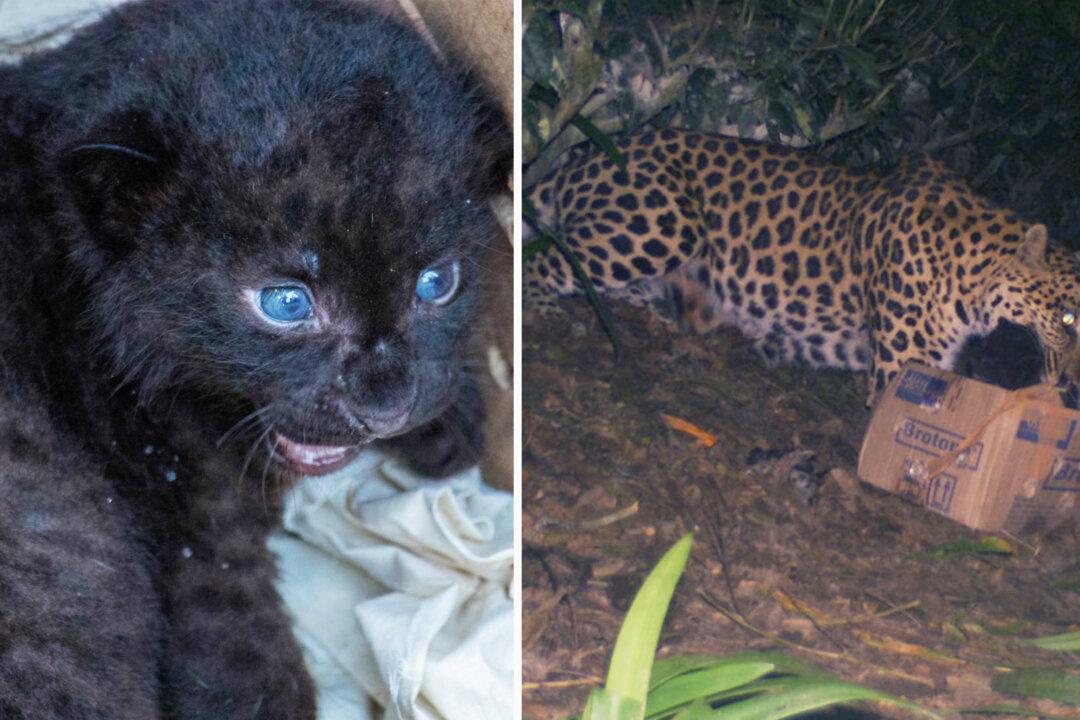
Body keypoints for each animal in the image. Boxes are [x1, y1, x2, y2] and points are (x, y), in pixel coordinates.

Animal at [525, 128, 1080, 402]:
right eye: (1068, 318)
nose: (1073, 388)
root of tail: (581, 159)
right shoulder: (902, 366)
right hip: (665, 222)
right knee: (551, 256)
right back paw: (543, 312)